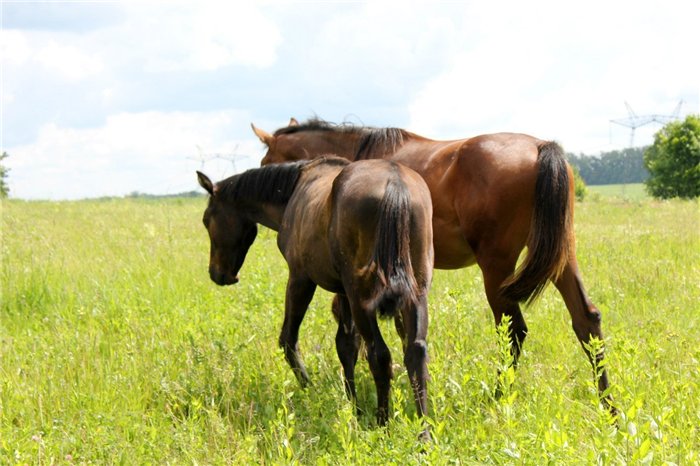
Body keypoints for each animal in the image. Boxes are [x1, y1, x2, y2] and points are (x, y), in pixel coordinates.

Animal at [196, 157, 435, 435]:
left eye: (207, 219)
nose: (217, 274)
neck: (293, 191)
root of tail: (395, 184)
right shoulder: (343, 292)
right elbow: (347, 346)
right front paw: (352, 405)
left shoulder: (301, 278)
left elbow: (288, 340)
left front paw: (312, 391)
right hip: (415, 295)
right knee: (415, 352)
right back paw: (424, 431)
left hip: (361, 300)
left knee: (380, 356)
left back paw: (382, 424)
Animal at [251, 117, 615, 413]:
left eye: (265, 161)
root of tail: (541, 148)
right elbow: (401, 331)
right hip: (562, 258)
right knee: (586, 320)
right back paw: (608, 404)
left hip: (497, 267)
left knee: (514, 331)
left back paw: (500, 396)